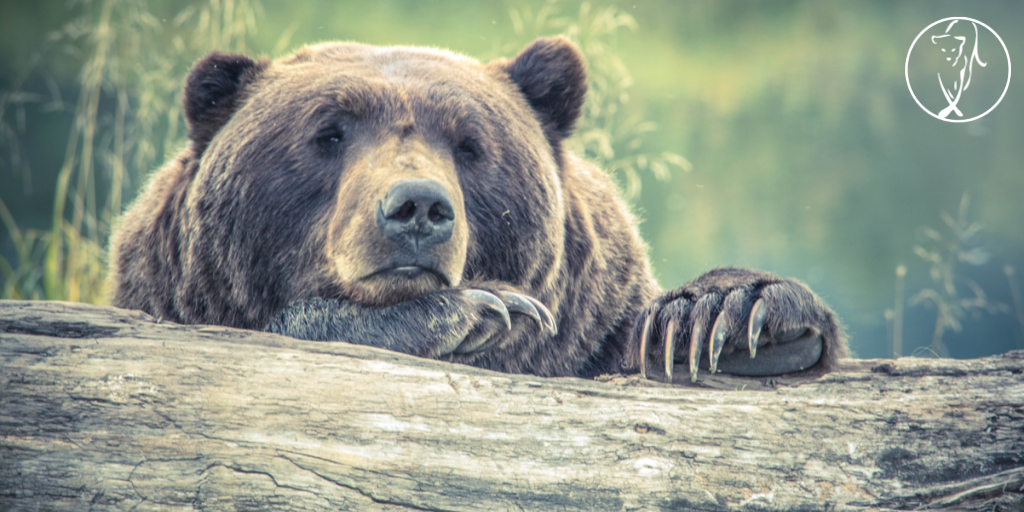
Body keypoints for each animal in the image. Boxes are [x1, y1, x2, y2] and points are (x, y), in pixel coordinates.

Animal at [108, 37, 846, 382]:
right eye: (329, 133)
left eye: (469, 145)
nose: (417, 207)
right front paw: (478, 311)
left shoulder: (591, 325)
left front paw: (724, 317)